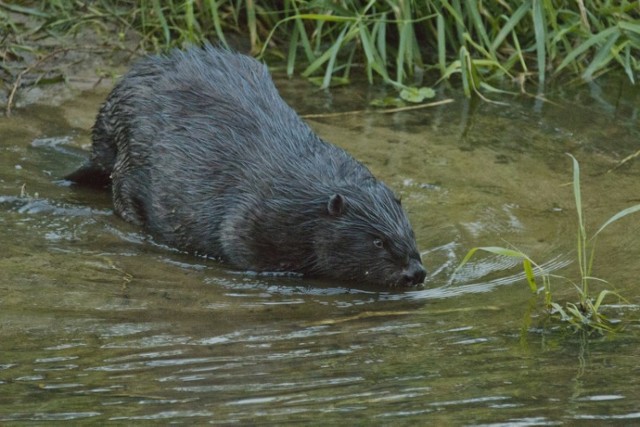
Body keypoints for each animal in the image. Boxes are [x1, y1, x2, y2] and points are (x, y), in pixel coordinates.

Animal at [65, 44, 428, 288]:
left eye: (410, 230)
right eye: (378, 241)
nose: (416, 273)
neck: (305, 194)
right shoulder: (252, 219)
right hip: (129, 154)